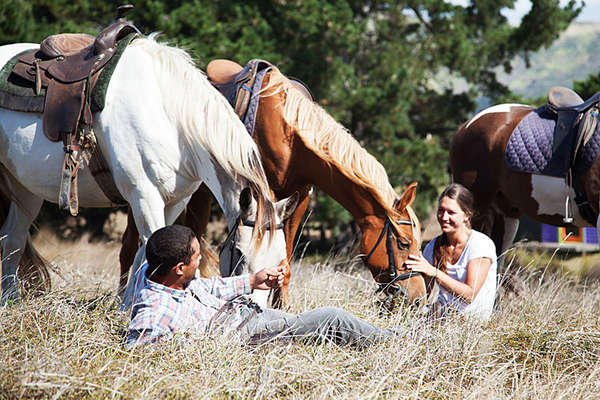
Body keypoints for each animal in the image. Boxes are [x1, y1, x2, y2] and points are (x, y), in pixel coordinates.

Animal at [0, 36, 282, 306]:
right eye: (240, 254)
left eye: (280, 259)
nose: (255, 308)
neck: (172, 119)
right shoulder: (144, 196)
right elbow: (150, 247)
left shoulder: (175, 201)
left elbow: (146, 252)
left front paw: (125, 305)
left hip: (26, 191)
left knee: (12, 239)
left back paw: (10, 301)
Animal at [118, 61, 426, 308]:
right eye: (403, 242)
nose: (418, 297)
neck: (290, 136)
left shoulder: (298, 199)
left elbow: (284, 258)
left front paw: (282, 304)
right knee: (133, 245)